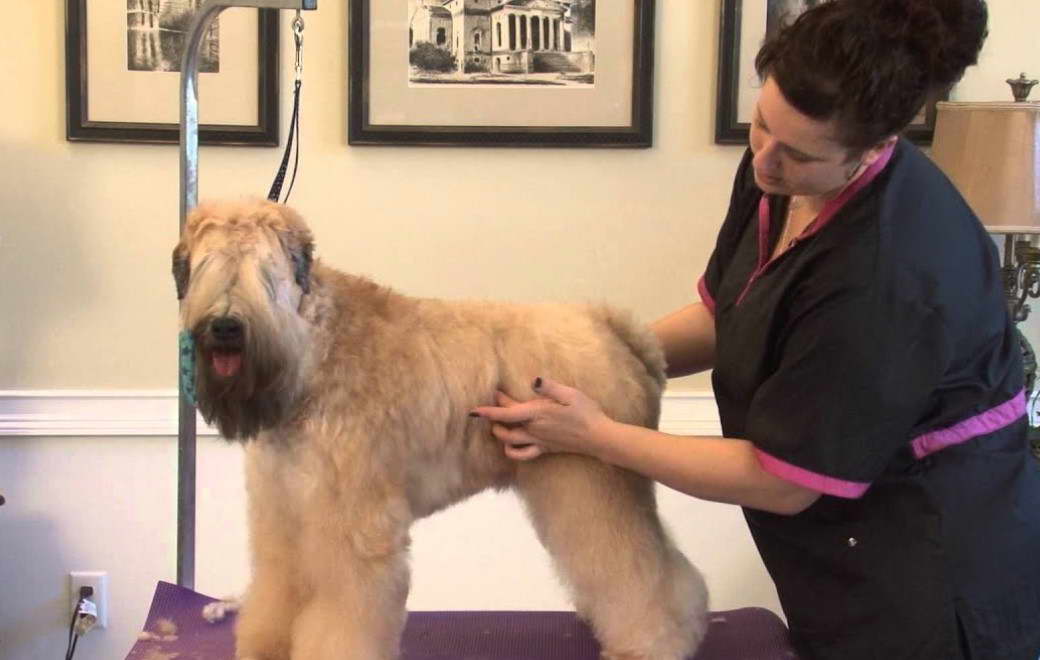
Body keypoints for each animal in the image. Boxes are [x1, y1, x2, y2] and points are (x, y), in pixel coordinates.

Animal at [172, 198, 707, 656]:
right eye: (205, 267)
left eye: (266, 271)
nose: (226, 326)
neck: (315, 350)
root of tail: (609, 324)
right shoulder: (283, 513)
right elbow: (277, 592)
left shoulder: (352, 525)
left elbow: (345, 613)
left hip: (591, 487)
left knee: (639, 572)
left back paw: (655, 642)